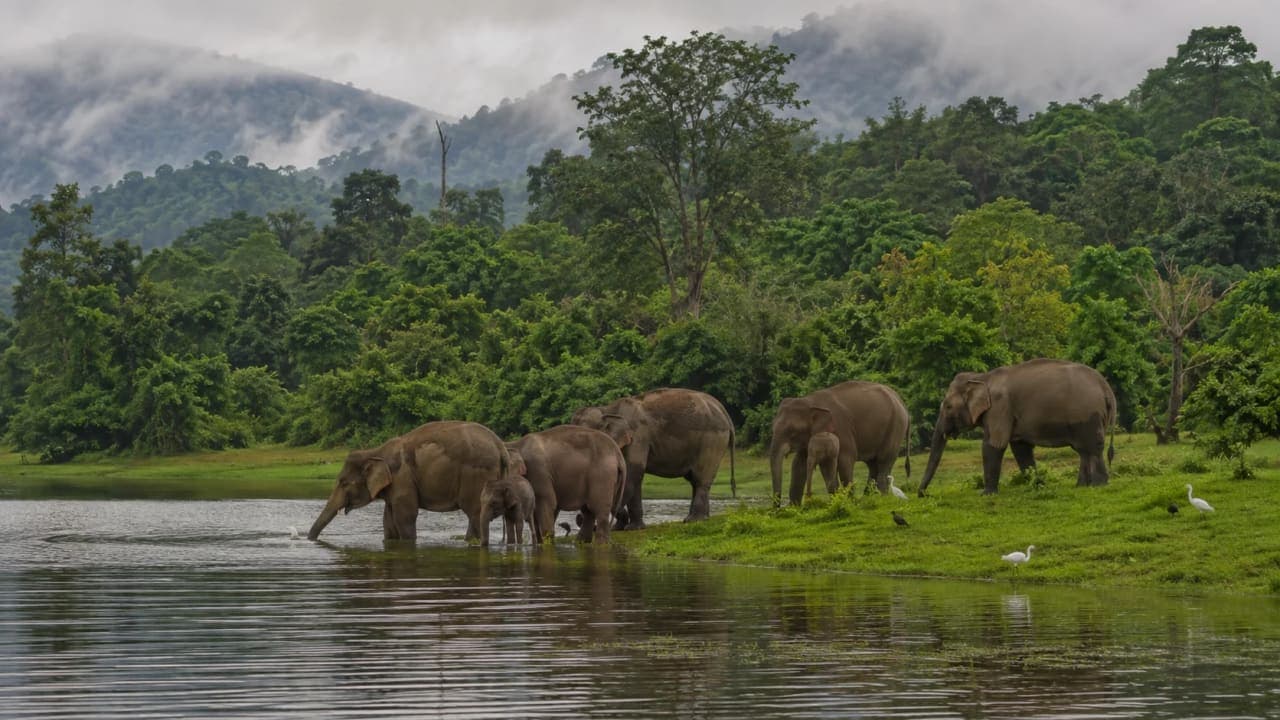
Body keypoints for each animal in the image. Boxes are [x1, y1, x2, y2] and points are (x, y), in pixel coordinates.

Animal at [307, 420, 508, 542]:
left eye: (344, 483)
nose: (308, 539)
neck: (375, 452)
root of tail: (500, 446)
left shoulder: (402, 478)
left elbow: (405, 516)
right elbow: (388, 519)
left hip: (476, 477)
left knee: (474, 512)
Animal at [572, 387, 735, 528]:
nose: (579, 519)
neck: (608, 409)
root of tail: (724, 411)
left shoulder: (638, 435)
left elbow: (633, 473)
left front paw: (620, 526)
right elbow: (632, 478)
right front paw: (628, 528)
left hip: (712, 440)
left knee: (700, 479)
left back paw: (693, 520)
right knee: (695, 481)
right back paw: (702, 518)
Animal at [769, 381, 911, 506]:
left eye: (792, 431)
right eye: (773, 428)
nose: (777, 509)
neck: (810, 401)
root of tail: (902, 403)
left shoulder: (841, 429)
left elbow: (844, 461)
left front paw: (849, 503)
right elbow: (798, 465)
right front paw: (794, 509)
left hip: (895, 427)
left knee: (883, 462)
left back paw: (880, 498)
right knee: (873, 465)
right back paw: (868, 498)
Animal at [917, 358, 1117, 496]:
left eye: (948, 407)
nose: (924, 494)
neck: (982, 377)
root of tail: (1106, 387)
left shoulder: (1000, 408)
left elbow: (993, 445)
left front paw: (986, 495)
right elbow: (1021, 449)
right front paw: (1038, 485)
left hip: (1088, 415)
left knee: (1091, 448)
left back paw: (1098, 485)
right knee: (1084, 450)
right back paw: (1081, 486)